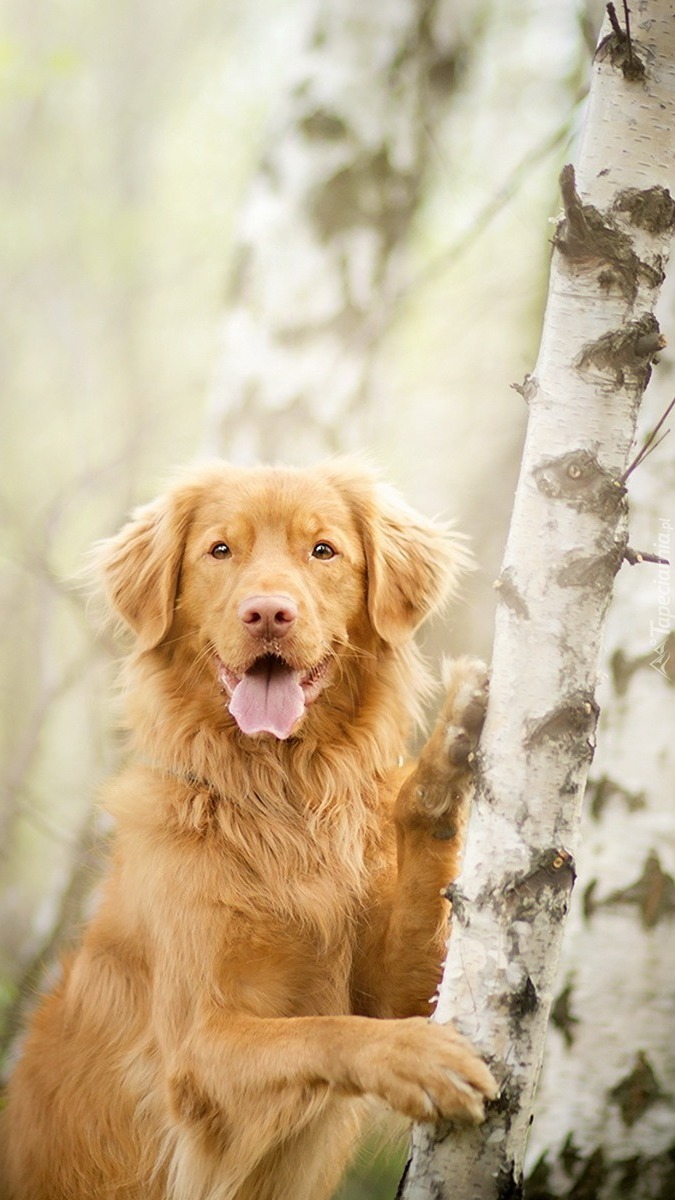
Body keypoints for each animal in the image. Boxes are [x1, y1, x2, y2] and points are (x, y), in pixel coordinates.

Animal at [1, 458, 494, 1200]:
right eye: (219, 550)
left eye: (322, 550)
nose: (267, 612)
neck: (279, 797)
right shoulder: (199, 1052)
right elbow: (321, 1030)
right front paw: (413, 1056)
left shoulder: (401, 986)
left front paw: (448, 754)